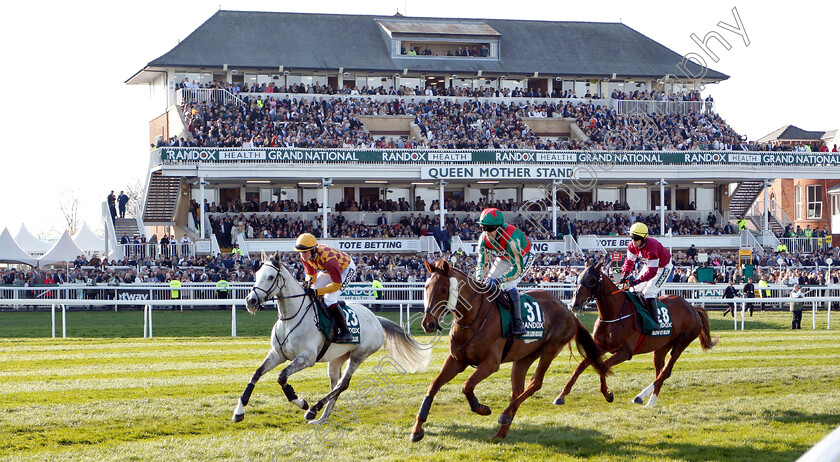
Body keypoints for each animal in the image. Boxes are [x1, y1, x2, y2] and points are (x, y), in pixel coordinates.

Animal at [408, 258, 612, 442]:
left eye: (444, 290)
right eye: (426, 288)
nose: (428, 324)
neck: (471, 318)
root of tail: (568, 310)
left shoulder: (490, 363)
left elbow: (467, 386)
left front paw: (482, 408)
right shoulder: (456, 360)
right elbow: (433, 385)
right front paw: (417, 430)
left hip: (550, 349)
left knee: (535, 383)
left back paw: (505, 415)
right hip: (524, 358)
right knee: (517, 391)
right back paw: (501, 432)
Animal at [556, 262, 720, 406]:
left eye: (591, 280)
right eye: (577, 278)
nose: (574, 304)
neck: (614, 313)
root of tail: (693, 308)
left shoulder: (626, 352)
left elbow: (602, 367)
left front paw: (608, 394)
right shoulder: (600, 346)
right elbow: (580, 367)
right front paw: (561, 396)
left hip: (682, 343)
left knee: (665, 372)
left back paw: (644, 398)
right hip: (661, 347)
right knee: (660, 371)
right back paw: (647, 400)